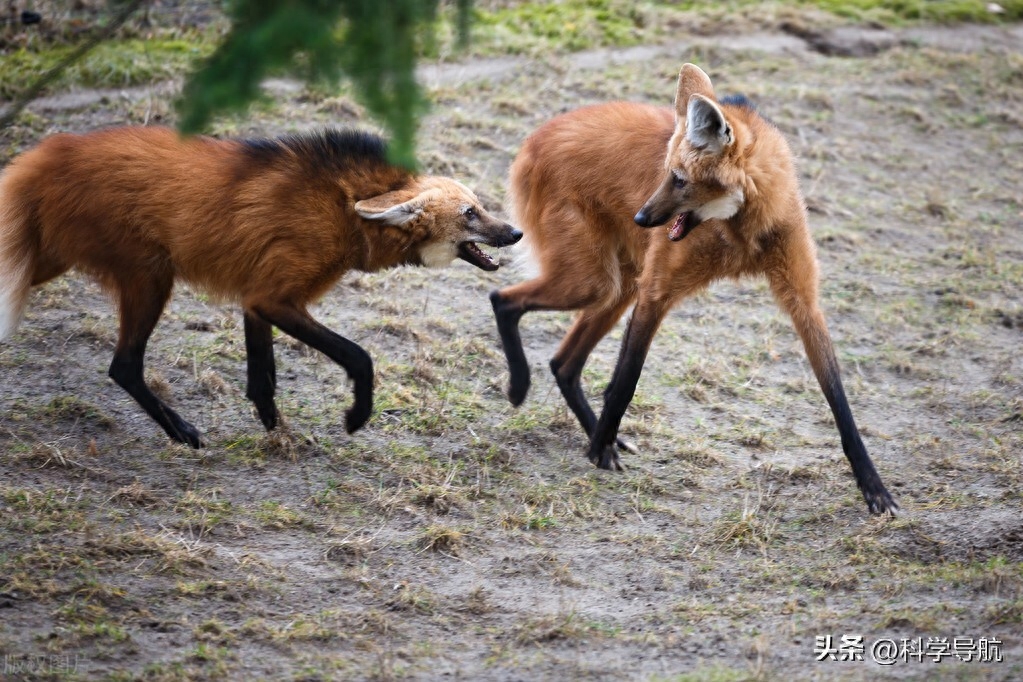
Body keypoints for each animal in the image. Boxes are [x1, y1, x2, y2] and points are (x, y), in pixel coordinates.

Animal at [0, 127, 523, 447]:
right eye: (470, 213)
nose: (516, 232)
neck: (346, 209)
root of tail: (50, 152)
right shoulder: (275, 296)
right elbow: (358, 355)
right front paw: (354, 417)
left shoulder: (257, 296)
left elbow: (262, 375)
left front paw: (275, 429)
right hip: (149, 275)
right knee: (124, 365)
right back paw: (182, 432)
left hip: (53, 256)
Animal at [486, 63, 896, 515]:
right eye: (667, 172)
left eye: (679, 179)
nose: (642, 217)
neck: (742, 228)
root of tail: (535, 137)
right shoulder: (656, 292)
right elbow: (626, 380)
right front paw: (597, 450)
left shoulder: (803, 300)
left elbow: (838, 397)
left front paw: (874, 487)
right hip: (595, 282)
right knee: (503, 300)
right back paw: (523, 389)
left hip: (617, 285)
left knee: (563, 362)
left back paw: (599, 433)